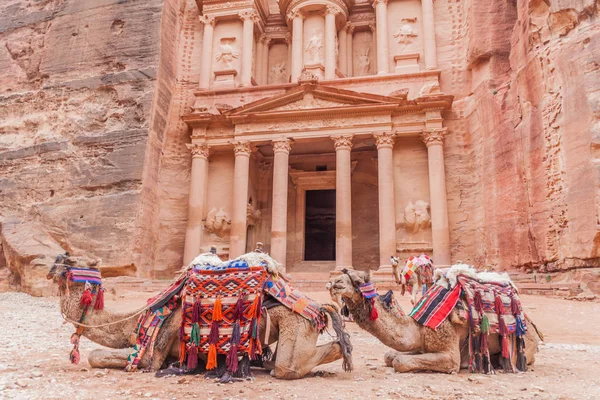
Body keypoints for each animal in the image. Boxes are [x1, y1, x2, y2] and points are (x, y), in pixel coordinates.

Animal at [49, 252, 354, 380]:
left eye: (71, 259)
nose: (52, 267)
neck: (138, 320)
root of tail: (317, 309)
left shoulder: (155, 349)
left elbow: (104, 357)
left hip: (298, 323)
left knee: (288, 366)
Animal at [326, 268, 540, 376]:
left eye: (358, 279)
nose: (334, 282)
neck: (419, 327)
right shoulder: (421, 344)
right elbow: (390, 355)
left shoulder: (449, 352)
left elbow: (399, 361)